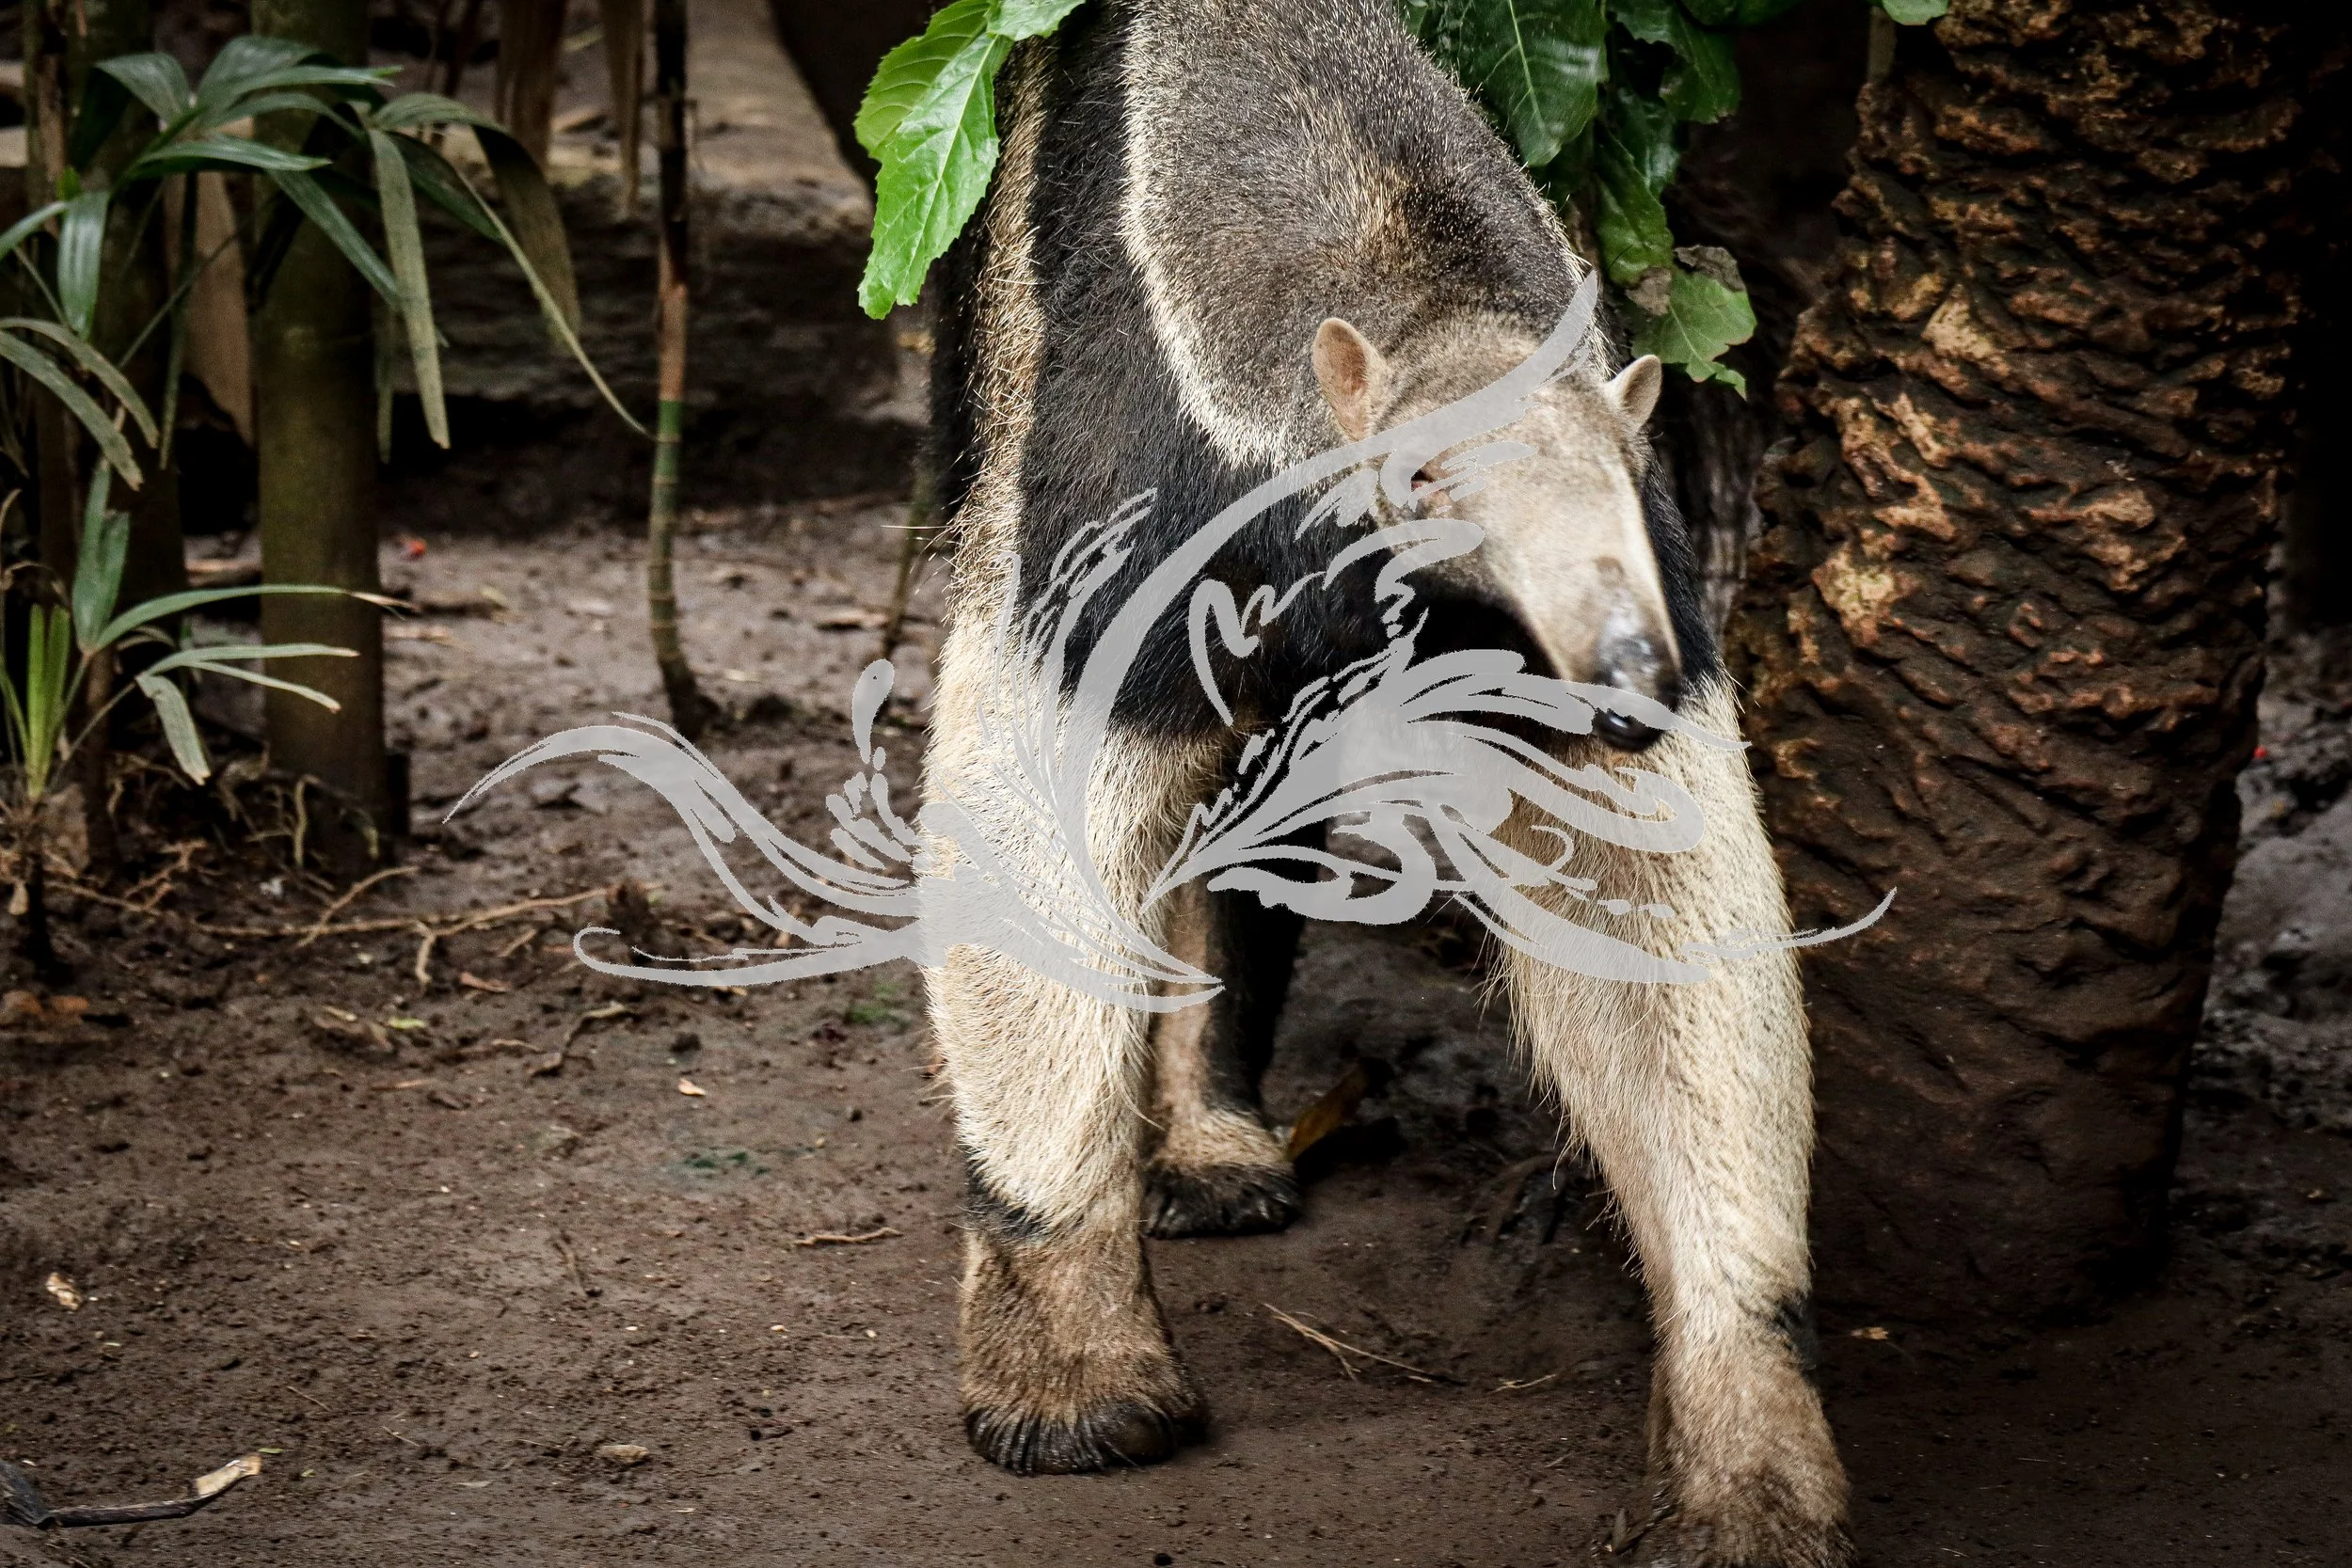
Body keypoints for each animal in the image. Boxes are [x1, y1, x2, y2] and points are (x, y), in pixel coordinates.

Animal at [919, 1, 1849, 1561]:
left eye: (1614, 480)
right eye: (1427, 483)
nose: (1636, 686)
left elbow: (1636, 887)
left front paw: (1750, 1443)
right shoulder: (1132, 474)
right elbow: (1028, 779)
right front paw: (1073, 1374)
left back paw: (1213, 1140)